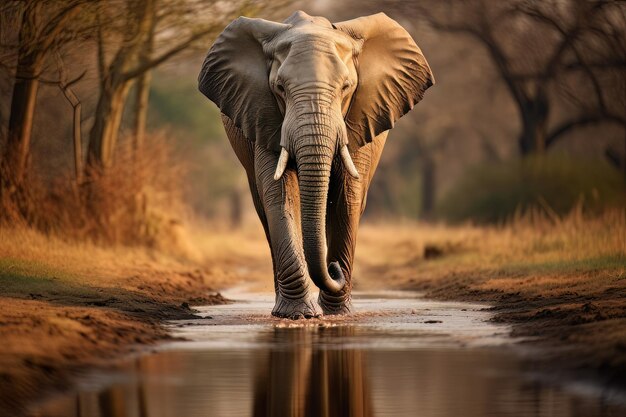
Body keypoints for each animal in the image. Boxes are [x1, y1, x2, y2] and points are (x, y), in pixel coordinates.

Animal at [197, 9, 432, 316]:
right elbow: (280, 195)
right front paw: (299, 314)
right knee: (263, 208)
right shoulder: (263, 115)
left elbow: (347, 197)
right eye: (279, 88)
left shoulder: (358, 118)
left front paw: (337, 313)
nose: (333, 269)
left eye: (346, 87)